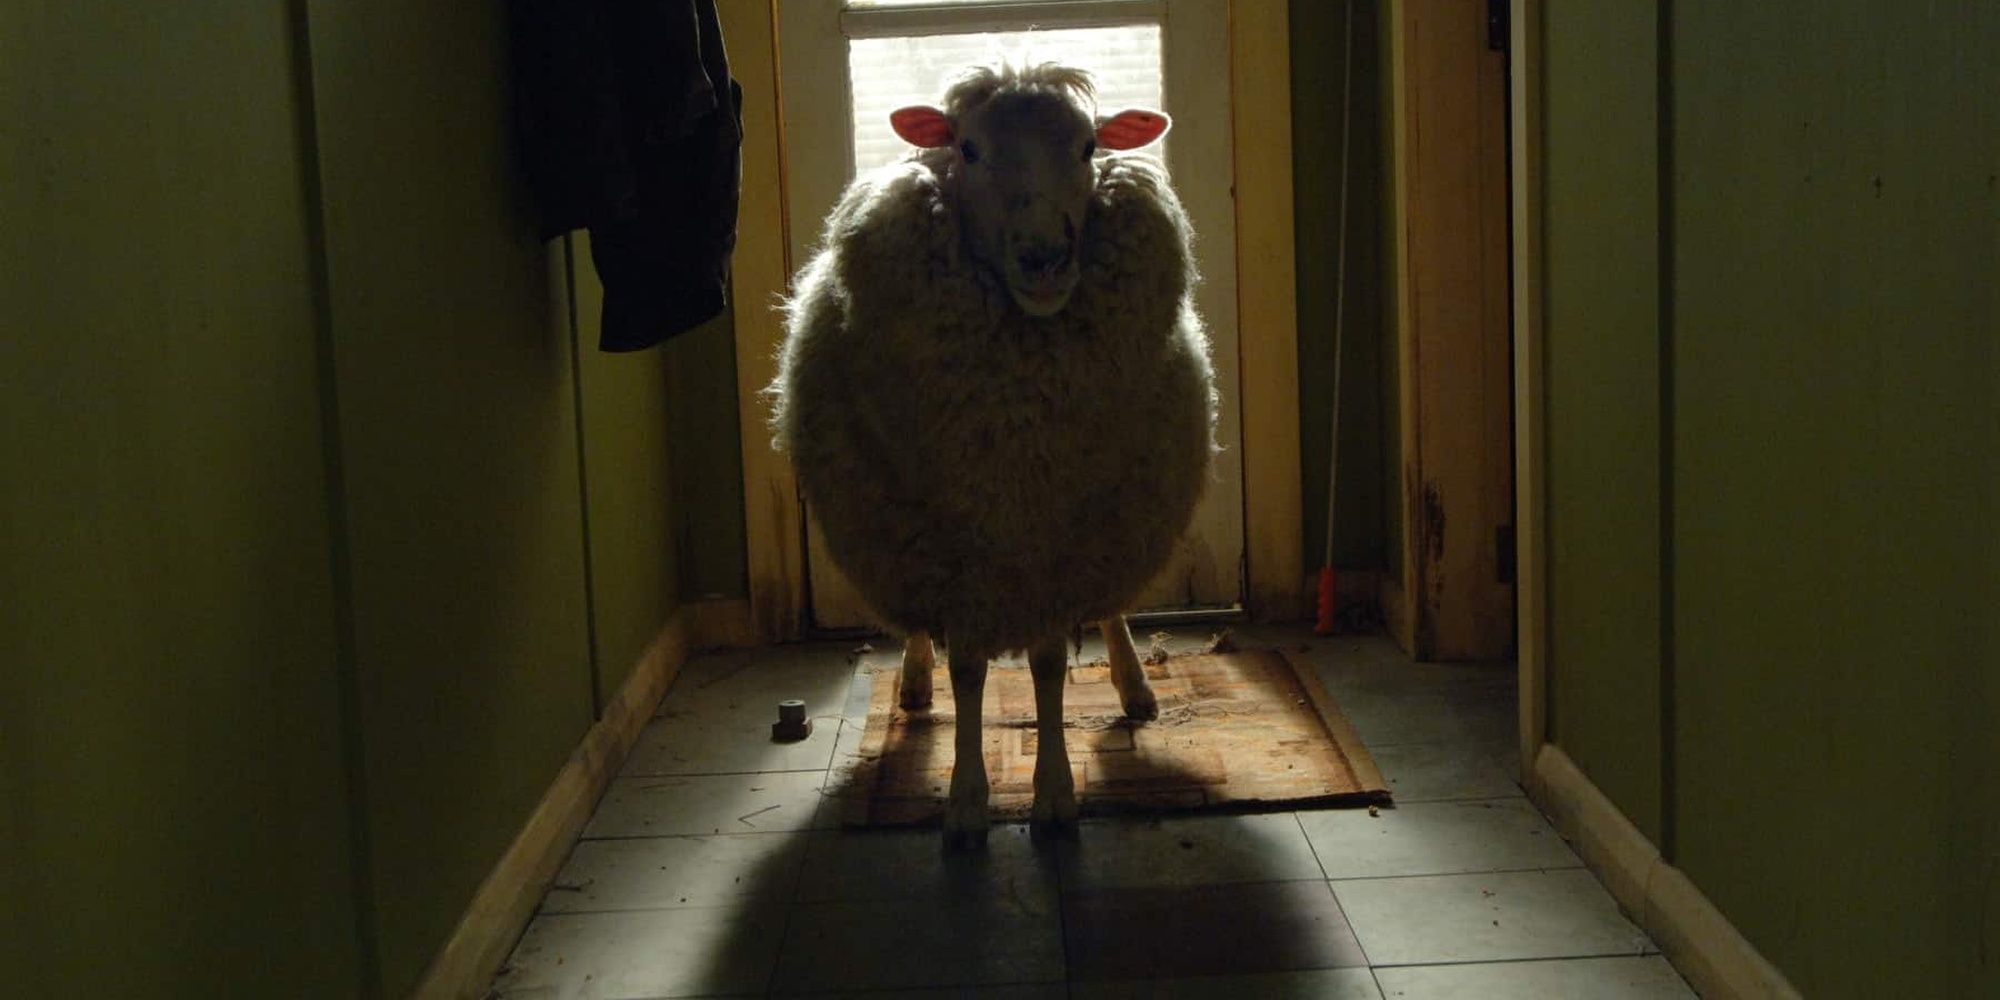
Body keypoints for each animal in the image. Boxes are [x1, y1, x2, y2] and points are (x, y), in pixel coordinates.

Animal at [768, 62, 1216, 844]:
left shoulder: (1054, 546)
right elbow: (971, 674)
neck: (1015, 433)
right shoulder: (958, 554)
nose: (1044, 259)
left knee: (1110, 610)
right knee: (923, 637)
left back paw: (1134, 686)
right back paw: (916, 681)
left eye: (1089, 146)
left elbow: (1046, 666)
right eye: (968, 149)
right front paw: (968, 801)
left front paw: (1055, 795)